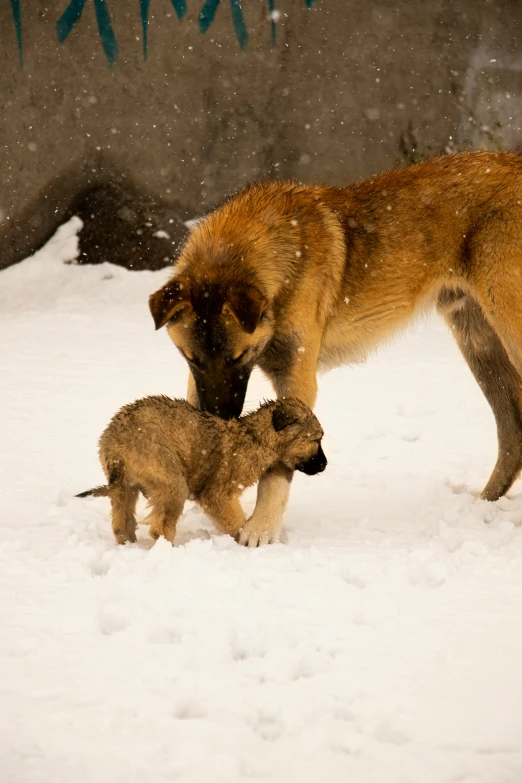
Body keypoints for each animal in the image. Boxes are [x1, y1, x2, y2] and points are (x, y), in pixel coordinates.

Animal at [77, 398, 324, 544]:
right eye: (317, 439)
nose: (324, 464)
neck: (254, 437)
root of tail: (114, 445)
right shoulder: (218, 494)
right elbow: (235, 521)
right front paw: (245, 538)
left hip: (126, 486)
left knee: (122, 521)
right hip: (170, 480)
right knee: (160, 528)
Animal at [147, 152, 522, 544]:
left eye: (239, 357)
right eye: (191, 359)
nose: (219, 420)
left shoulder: (296, 379)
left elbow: (277, 468)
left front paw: (260, 529)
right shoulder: (200, 383)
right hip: (479, 345)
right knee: (513, 431)